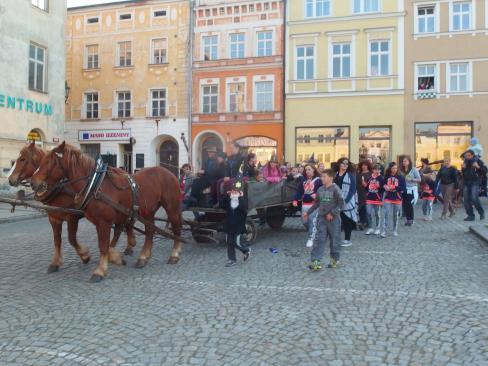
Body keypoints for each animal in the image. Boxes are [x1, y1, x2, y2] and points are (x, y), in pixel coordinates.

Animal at [9, 142, 135, 274]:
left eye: (23, 159)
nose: (10, 179)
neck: (61, 187)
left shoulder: (72, 216)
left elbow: (71, 239)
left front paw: (85, 255)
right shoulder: (54, 217)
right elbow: (57, 240)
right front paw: (55, 263)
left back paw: (127, 247)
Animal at [31, 142, 183, 282]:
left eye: (49, 162)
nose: (33, 182)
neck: (96, 185)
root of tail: (169, 172)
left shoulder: (103, 222)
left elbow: (103, 246)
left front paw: (100, 270)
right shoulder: (99, 222)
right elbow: (106, 244)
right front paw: (116, 258)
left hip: (172, 208)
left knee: (176, 228)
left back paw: (174, 254)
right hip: (148, 211)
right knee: (150, 231)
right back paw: (143, 257)